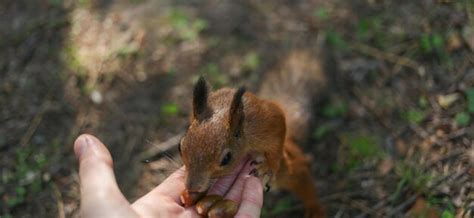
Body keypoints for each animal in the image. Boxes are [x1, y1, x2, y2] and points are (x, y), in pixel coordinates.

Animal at [178, 50, 326, 217]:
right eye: (180, 147)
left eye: (226, 159)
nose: (192, 186)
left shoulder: (265, 123)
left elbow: (277, 131)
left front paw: (269, 166)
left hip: (290, 170)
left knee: (303, 178)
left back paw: (315, 210)